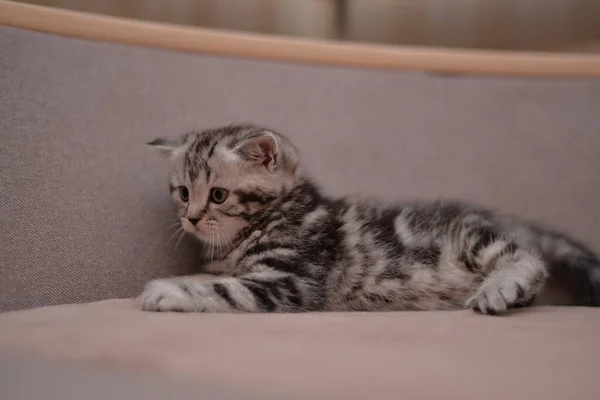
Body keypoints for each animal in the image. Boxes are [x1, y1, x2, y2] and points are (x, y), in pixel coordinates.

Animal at [139, 123, 600, 314]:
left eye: (218, 195)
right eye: (183, 193)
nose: (192, 219)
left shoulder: (292, 280)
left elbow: (225, 290)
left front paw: (167, 291)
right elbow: (215, 278)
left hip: (470, 241)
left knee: (526, 256)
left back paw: (500, 288)